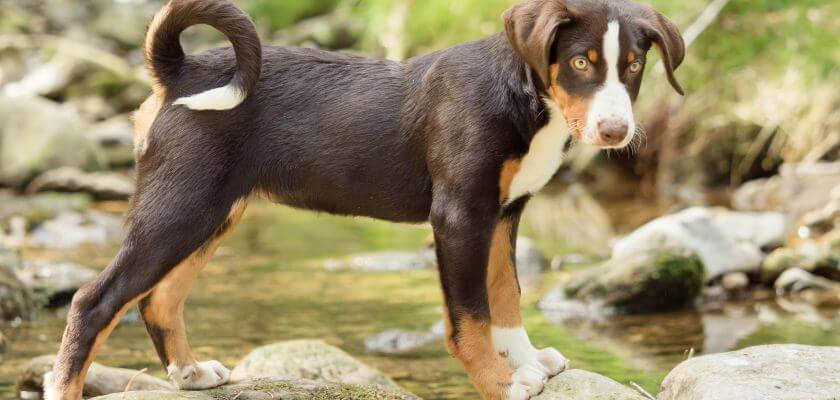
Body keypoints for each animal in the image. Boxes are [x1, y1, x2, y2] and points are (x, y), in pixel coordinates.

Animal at [44, 0, 684, 400]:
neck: (524, 95)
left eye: (633, 66)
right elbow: (470, 317)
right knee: (94, 302)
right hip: (178, 209)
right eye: (579, 62)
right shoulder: (460, 216)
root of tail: (178, 71)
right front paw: (501, 381)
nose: (614, 132)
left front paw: (524, 360)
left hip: (211, 211)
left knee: (160, 299)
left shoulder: (503, 214)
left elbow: (505, 298)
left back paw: (191, 373)